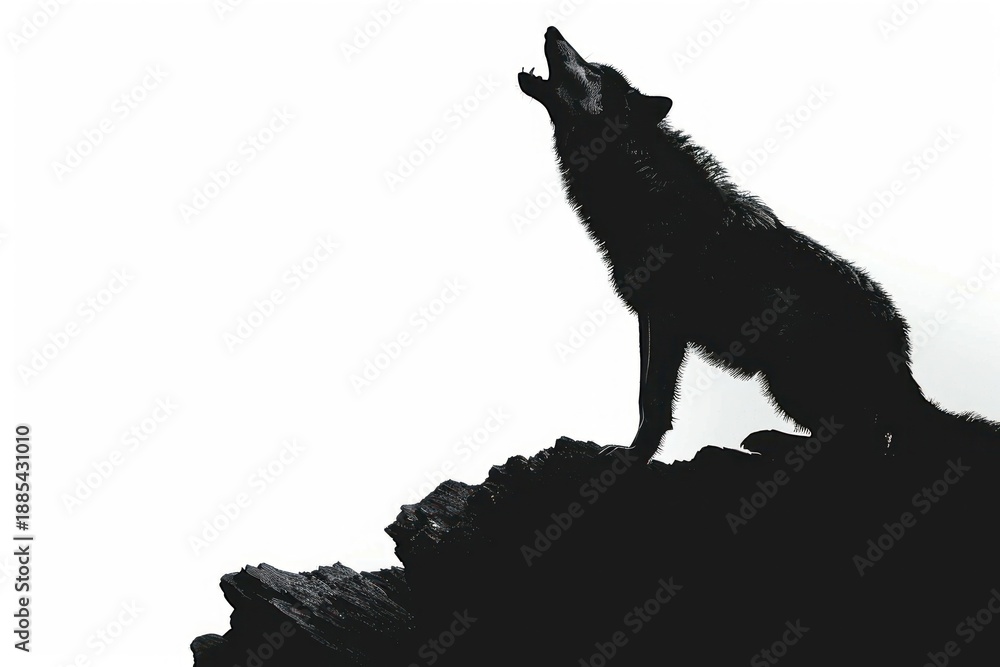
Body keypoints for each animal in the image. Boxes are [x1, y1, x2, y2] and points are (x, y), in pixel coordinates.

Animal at [519, 27, 998, 463]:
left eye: (595, 69)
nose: (552, 29)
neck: (640, 187)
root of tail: (901, 348)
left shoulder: (667, 319)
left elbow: (654, 401)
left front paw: (633, 456)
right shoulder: (647, 318)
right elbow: (641, 397)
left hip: (785, 370)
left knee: (864, 444)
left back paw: (770, 444)